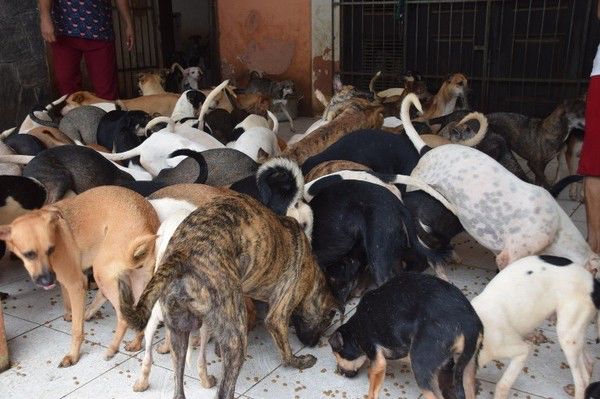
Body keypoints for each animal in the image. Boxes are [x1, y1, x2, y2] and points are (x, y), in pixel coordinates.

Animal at [0, 186, 158, 368]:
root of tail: (147, 225)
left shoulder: (76, 284)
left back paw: (112, 349)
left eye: (51, 249)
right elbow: (66, 299)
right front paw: (69, 314)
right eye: (28, 254)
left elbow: (76, 330)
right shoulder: (64, 280)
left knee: (123, 317)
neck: (57, 233)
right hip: (139, 281)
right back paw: (136, 344)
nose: (47, 281)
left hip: (102, 273)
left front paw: (73, 356)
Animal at [119, 190, 340, 399]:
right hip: (236, 338)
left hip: (178, 332)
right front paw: (300, 361)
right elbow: (285, 351)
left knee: (178, 384)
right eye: (325, 322)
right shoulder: (279, 314)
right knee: (225, 390)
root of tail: (182, 253)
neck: (312, 272)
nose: (312, 345)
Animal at [328, 274, 482, 399]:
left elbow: (373, 389)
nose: (339, 372)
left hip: (421, 366)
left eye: (337, 355)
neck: (356, 329)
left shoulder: (376, 357)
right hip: (466, 370)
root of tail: (467, 324)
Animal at [474, 256, 600, 399]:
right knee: (589, 362)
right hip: (575, 334)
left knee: (582, 380)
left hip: (567, 336)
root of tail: (594, 282)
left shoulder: (521, 351)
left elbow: (503, 384)